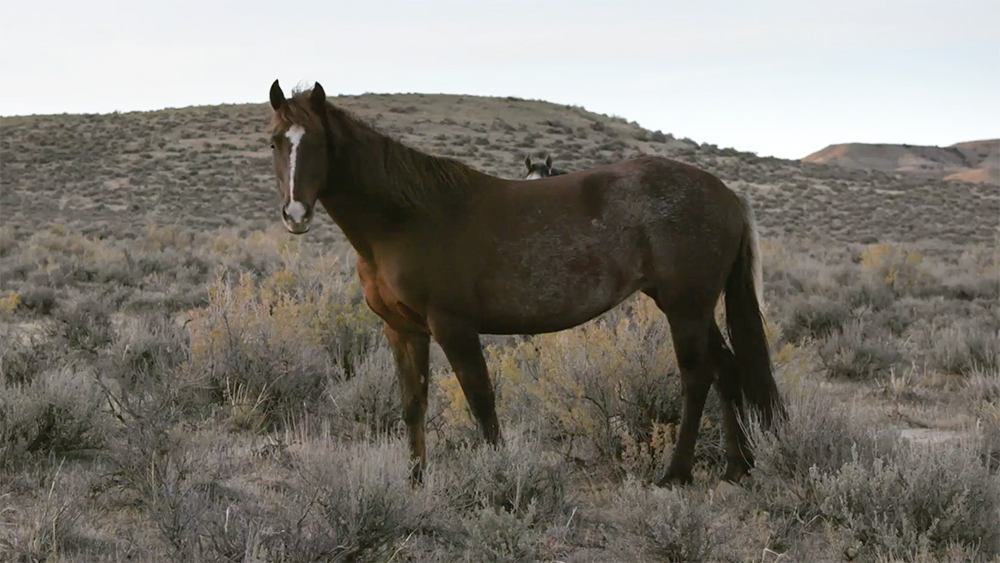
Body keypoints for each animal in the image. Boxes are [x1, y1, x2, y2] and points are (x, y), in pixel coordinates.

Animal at [265, 79, 785, 487]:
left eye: (317, 143)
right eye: (274, 142)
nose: (295, 215)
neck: (403, 219)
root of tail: (725, 193)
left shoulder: (453, 326)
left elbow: (481, 400)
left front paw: (501, 476)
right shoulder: (403, 329)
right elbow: (413, 404)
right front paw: (414, 481)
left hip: (685, 307)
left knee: (697, 377)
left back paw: (676, 474)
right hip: (693, 306)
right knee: (727, 369)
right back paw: (737, 468)